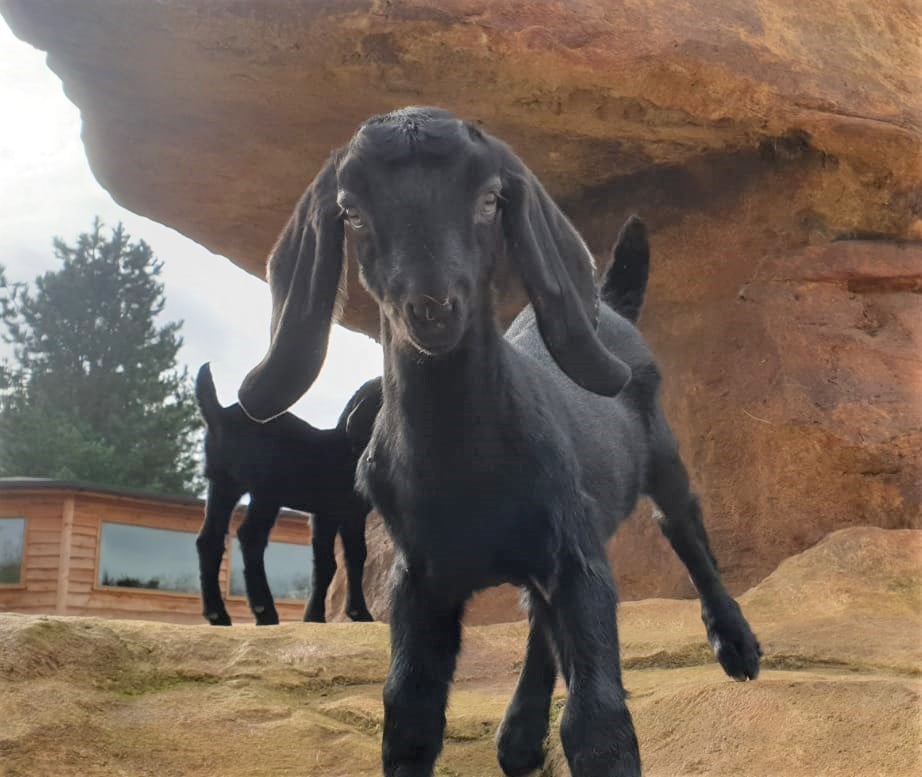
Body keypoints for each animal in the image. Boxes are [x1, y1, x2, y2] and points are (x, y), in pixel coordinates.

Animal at [195, 363, 381, 626]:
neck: (347, 449)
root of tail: (220, 415)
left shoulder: (330, 515)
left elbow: (331, 562)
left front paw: (317, 616)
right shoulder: (344, 512)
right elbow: (349, 558)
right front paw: (357, 614)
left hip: (223, 484)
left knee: (209, 538)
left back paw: (217, 614)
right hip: (265, 489)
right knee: (250, 536)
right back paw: (265, 611)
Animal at [237, 107, 761, 777]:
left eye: (489, 200)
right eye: (350, 210)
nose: (433, 308)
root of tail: (611, 306)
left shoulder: (578, 557)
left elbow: (597, 722)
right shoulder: (419, 581)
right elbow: (408, 714)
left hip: (661, 457)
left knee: (684, 529)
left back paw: (737, 646)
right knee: (541, 621)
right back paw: (518, 736)